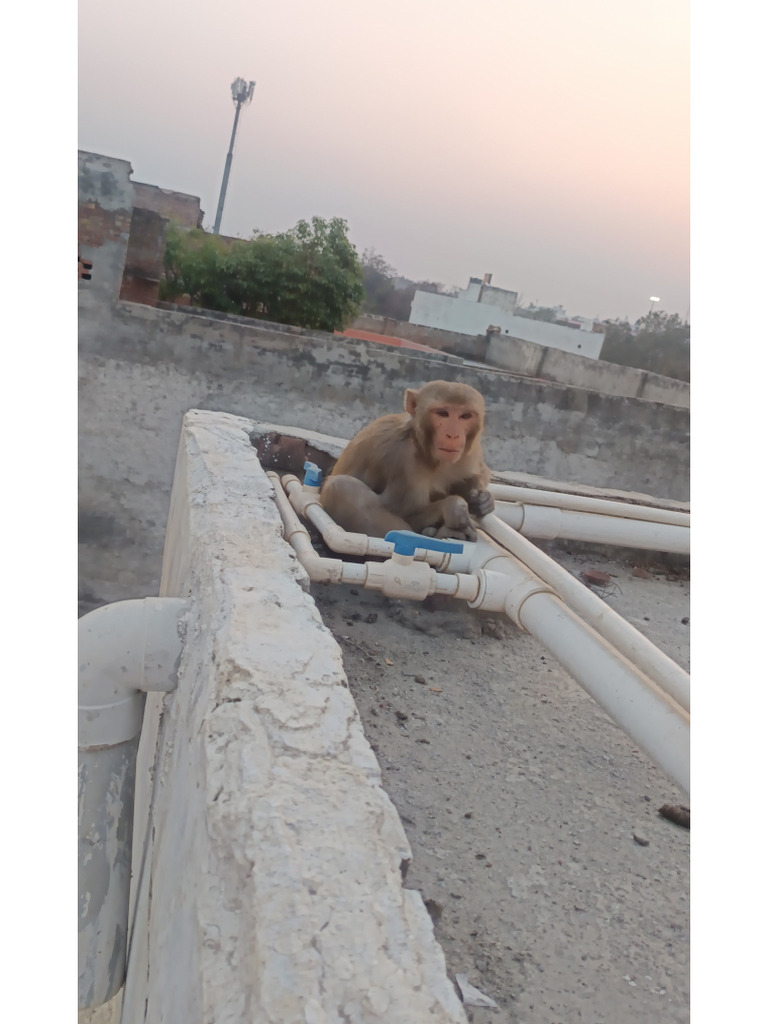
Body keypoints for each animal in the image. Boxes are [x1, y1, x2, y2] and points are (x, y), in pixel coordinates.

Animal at [320, 380, 495, 541]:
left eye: (465, 416)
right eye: (442, 413)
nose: (453, 435)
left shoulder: (471, 450)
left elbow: (480, 471)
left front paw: (482, 500)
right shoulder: (402, 458)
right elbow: (405, 513)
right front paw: (453, 506)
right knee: (341, 488)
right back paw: (439, 533)